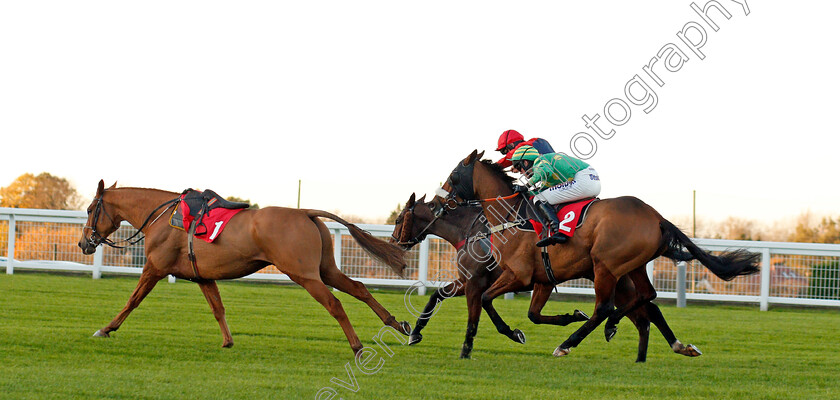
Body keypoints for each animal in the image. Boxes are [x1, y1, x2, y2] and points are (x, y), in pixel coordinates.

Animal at [77, 180, 412, 354]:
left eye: (91, 208)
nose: (84, 243)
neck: (165, 217)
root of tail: (304, 212)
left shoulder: (154, 268)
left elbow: (132, 301)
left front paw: (106, 328)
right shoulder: (203, 277)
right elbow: (218, 309)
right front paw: (228, 341)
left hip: (304, 275)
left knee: (335, 303)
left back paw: (357, 345)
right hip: (326, 269)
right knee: (358, 288)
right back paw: (398, 325)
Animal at [394, 192, 704, 360]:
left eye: (398, 219)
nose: (397, 240)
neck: (474, 231)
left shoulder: (477, 282)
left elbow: (478, 313)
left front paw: (498, 338)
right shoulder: (472, 281)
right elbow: (436, 295)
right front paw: (415, 333)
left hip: (610, 276)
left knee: (633, 311)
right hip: (621, 279)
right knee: (647, 311)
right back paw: (666, 348)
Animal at [440, 152, 760, 358]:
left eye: (454, 175)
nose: (441, 200)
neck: (510, 216)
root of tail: (656, 216)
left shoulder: (519, 275)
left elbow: (485, 299)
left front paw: (513, 333)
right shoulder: (542, 279)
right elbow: (528, 313)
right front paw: (559, 318)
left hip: (606, 267)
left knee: (605, 307)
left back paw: (573, 342)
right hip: (632, 266)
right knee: (648, 297)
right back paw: (673, 344)